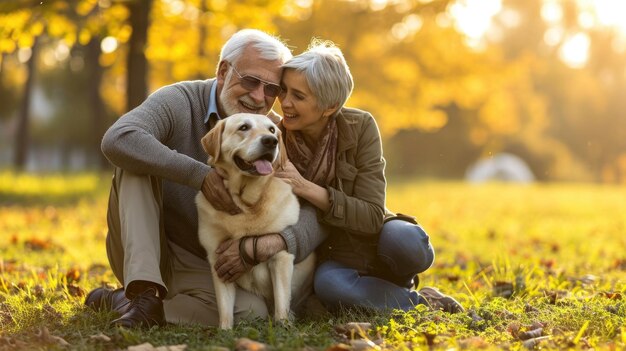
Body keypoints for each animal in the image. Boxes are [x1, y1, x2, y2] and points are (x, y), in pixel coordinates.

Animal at [194, 113, 312, 330]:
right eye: (243, 127)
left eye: (272, 129)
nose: (271, 141)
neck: (246, 203)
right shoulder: (217, 260)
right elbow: (225, 309)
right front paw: (225, 331)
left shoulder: (281, 256)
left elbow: (281, 301)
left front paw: (283, 326)